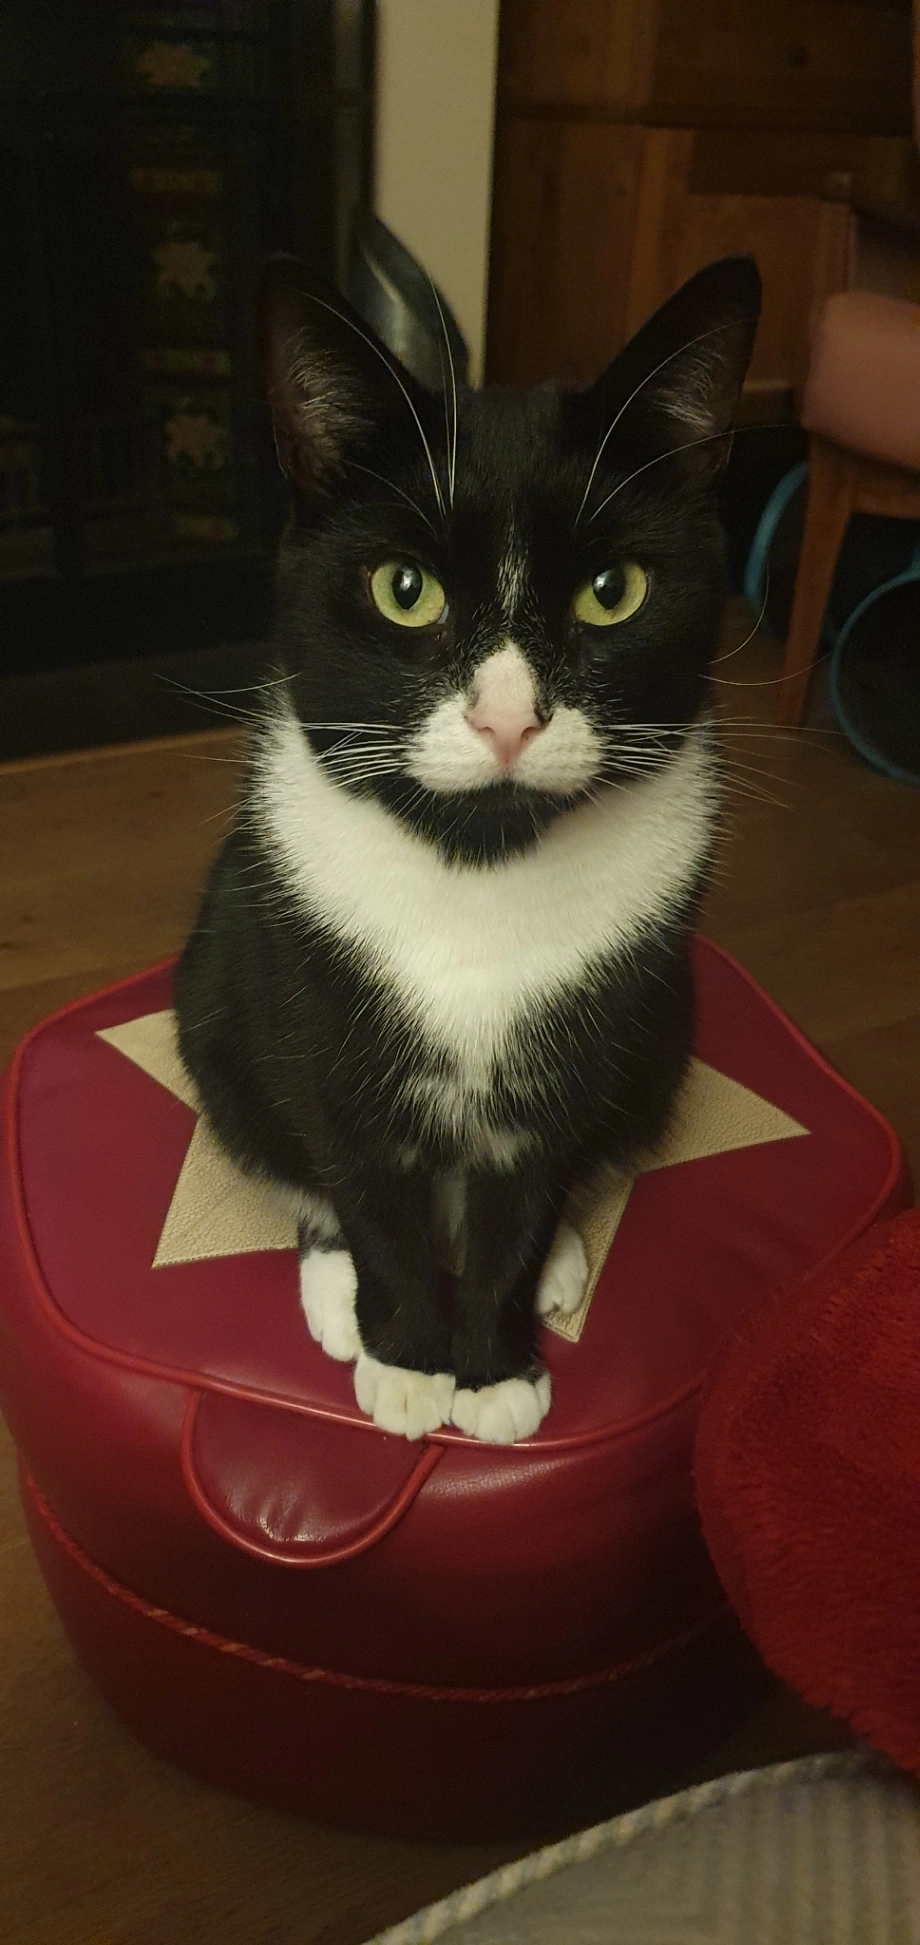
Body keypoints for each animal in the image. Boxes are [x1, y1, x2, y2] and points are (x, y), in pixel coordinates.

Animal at [174, 250, 761, 1446]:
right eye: (405, 591)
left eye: (612, 592)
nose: (505, 719)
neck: (477, 864)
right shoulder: (323, 1022)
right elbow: (363, 1184)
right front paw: (406, 1360)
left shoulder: (583, 1042)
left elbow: (524, 1194)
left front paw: (492, 1370)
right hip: (214, 1002)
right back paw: (335, 1292)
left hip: (665, 1030)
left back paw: (564, 1259)